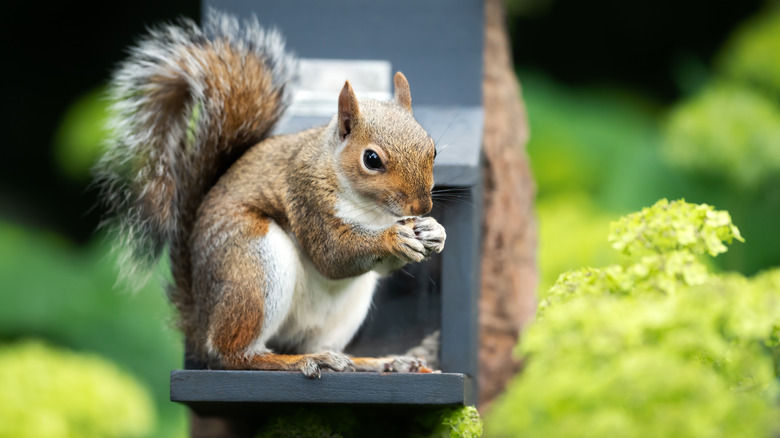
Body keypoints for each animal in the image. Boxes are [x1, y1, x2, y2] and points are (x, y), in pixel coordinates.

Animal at [95, 10, 446, 377]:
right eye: (372, 159)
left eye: (433, 149)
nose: (422, 205)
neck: (371, 211)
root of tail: (201, 319)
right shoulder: (305, 197)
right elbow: (332, 256)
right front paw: (392, 238)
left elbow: (382, 268)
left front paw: (435, 232)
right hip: (253, 266)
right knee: (233, 354)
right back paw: (302, 361)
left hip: (338, 315)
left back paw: (379, 362)